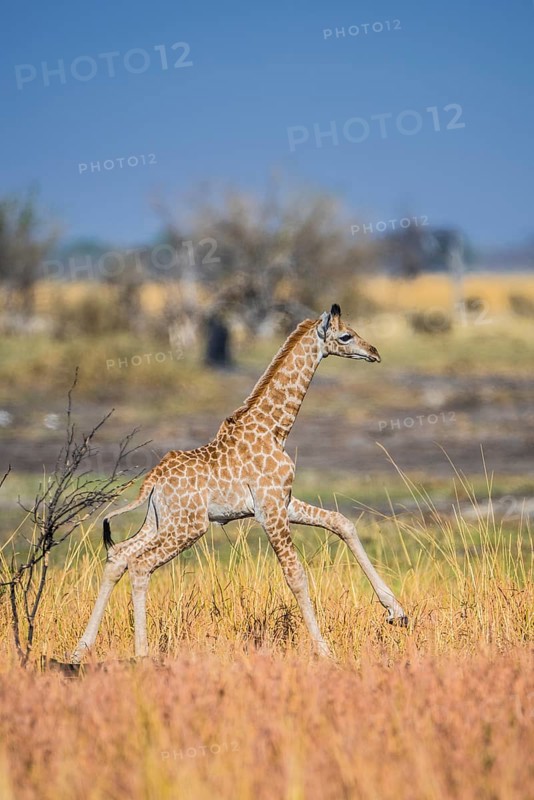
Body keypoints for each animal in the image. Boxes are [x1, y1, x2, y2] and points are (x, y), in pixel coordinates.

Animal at [71, 304, 407, 662]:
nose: (374, 352)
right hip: (189, 526)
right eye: (345, 336)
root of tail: (152, 481)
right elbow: (296, 574)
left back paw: (81, 649)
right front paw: (324, 650)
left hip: (160, 521)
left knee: (119, 555)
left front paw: (396, 612)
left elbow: (342, 523)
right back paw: (142, 654)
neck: (274, 429)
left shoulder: (283, 502)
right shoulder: (270, 510)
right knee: (140, 564)